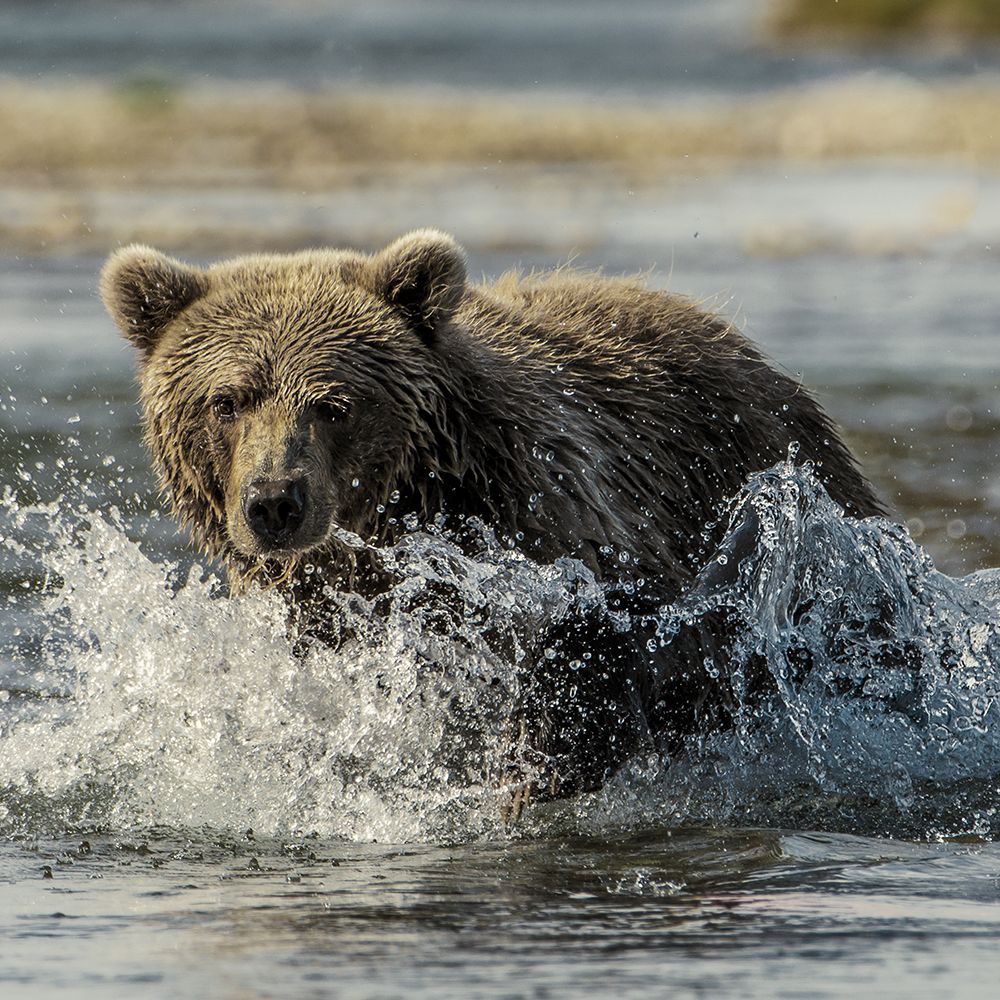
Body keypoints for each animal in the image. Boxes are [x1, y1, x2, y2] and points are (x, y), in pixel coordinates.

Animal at [101, 230, 886, 815]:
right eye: (227, 401)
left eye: (334, 404)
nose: (274, 502)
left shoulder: (552, 524)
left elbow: (595, 659)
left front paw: (527, 779)